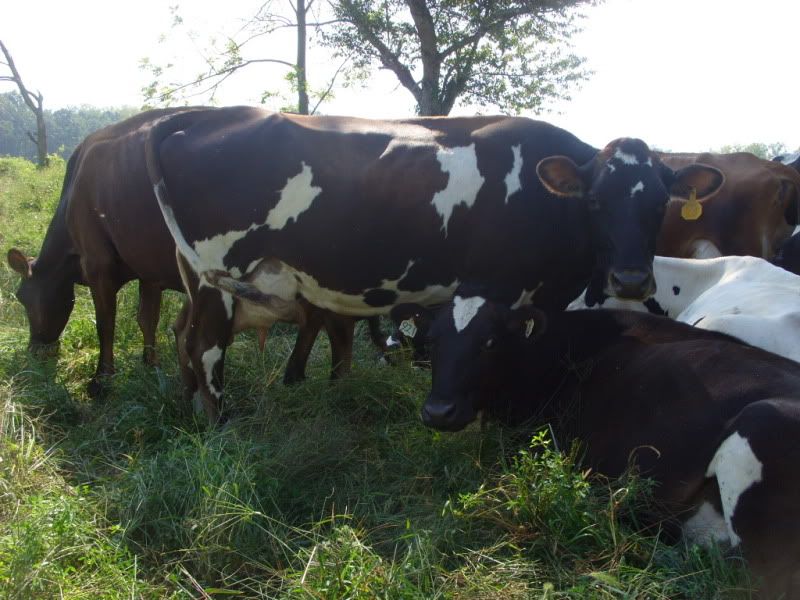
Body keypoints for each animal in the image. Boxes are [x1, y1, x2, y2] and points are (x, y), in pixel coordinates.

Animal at [5, 108, 383, 398]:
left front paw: (101, 381)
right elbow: (146, 318)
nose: (34, 352)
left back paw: (311, 376)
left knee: (325, 318)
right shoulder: (149, 269)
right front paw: (150, 365)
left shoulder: (98, 262)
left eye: (22, 298)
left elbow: (106, 324)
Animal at [144, 106, 724, 423]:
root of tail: (203, 116)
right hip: (219, 275)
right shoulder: (505, 287)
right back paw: (220, 426)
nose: (631, 279)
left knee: (186, 340)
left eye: (661, 204)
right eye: (597, 201)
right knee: (207, 349)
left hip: (196, 277)